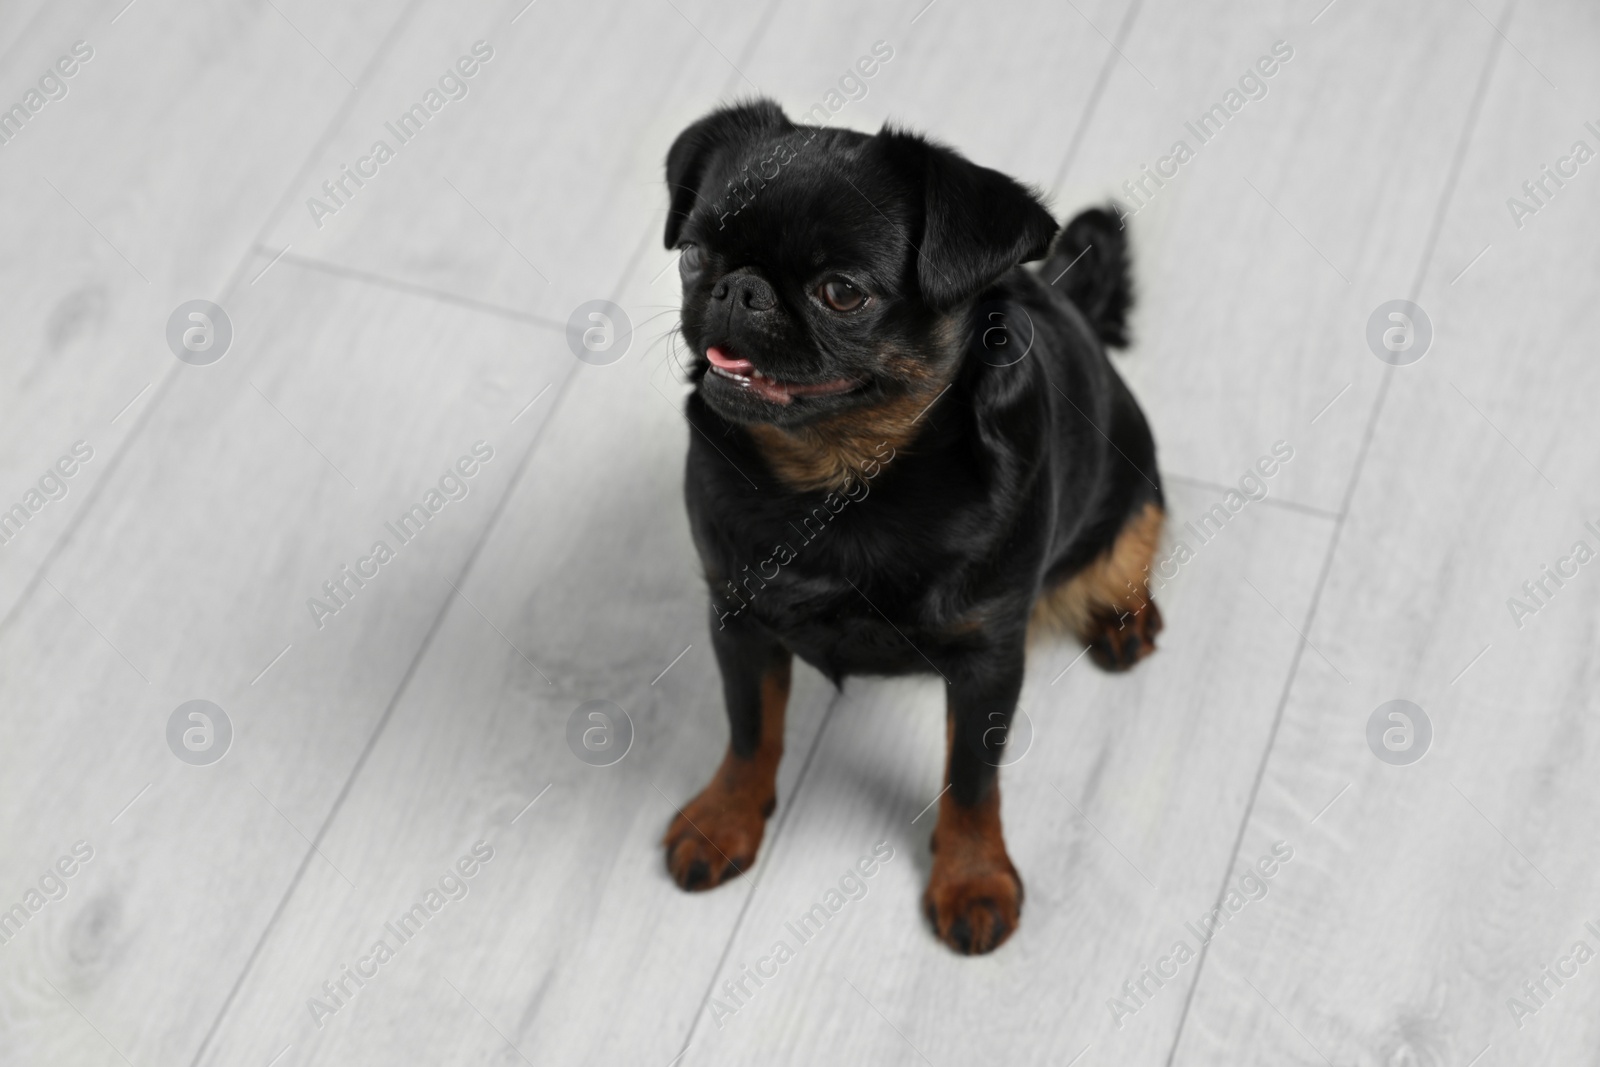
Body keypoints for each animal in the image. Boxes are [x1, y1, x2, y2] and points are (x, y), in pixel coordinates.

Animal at [662, 95, 1164, 953]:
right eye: (695, 254)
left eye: (841, 292)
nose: (738, 289)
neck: (845, 480)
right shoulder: (738, 616)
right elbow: (750, 729)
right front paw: (725, 817)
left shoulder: (988, 661)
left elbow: (971, 779)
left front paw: (973, 876)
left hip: (1134, 470)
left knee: (1135, 537)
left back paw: (1124, 612)